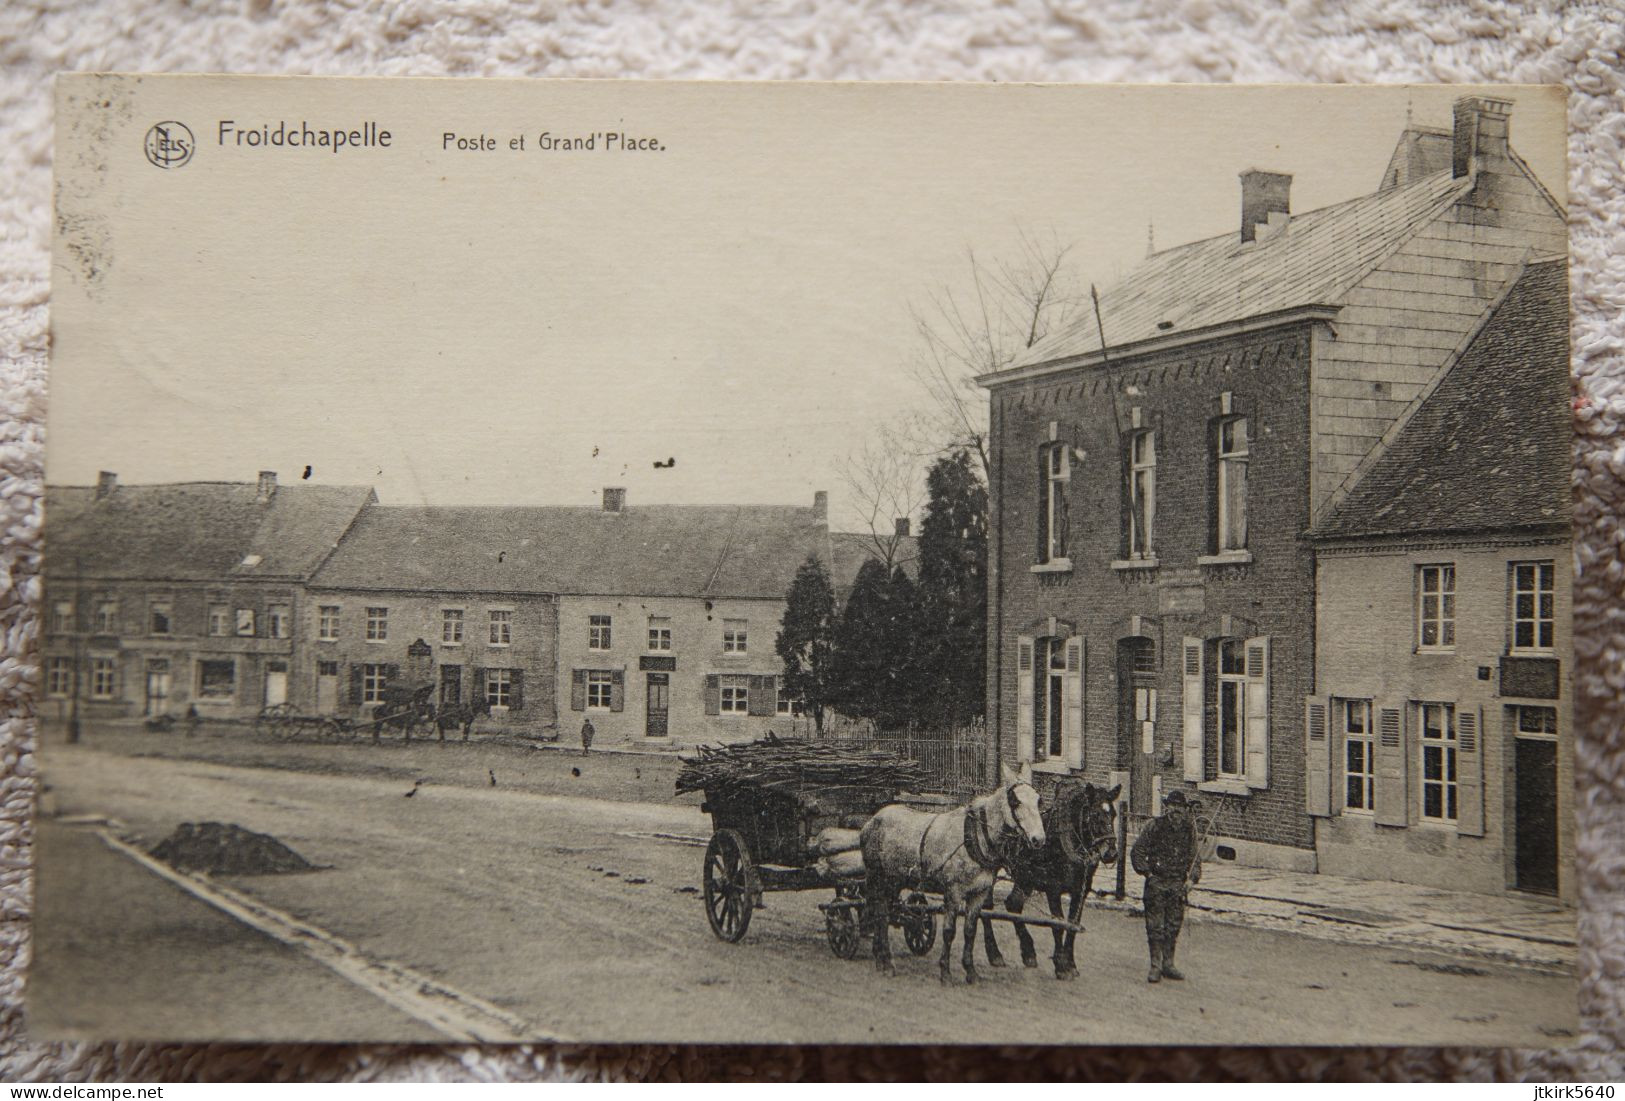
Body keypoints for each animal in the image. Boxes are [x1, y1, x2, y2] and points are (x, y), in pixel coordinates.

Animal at [858, 763, 1046, 987]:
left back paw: (880, 957)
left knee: (882, 913)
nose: (1038, 839)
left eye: (1038, 800)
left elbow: (970, 931)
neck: (973, 838)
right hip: (876, 877)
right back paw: (886, 961)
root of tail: (872, 820)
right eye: (1015, 801)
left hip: (893, 881)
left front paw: (971, 972)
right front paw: (945, 972)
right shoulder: (953, 892)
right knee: (879, 914)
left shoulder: (979, 894)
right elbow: (949, 931)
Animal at [975, 779, 1118, 980]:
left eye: (1113, 814)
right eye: (1095, 814)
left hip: (1025, 878)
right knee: (986, 906)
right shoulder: (1053, 890)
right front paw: (1061, 966)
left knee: (1013, 904)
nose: (1111, 853)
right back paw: (995, 953)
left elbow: (1072, 924)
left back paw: (1028, 953)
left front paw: (1070, 963)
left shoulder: (1080, 891)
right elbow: (1057, 925)